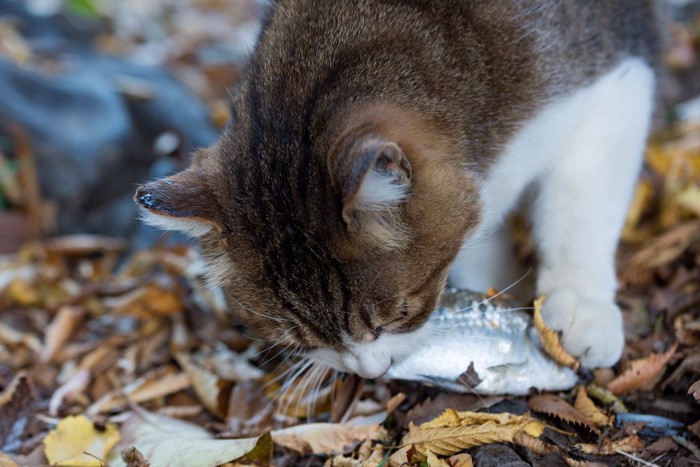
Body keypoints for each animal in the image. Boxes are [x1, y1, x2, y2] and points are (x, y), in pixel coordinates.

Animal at [135, 0, 660, 380]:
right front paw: (494, 290)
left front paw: (579, 305)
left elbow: (579, 212)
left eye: (399, 313)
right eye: (302, 341)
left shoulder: (614, 82)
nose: (371, 372)